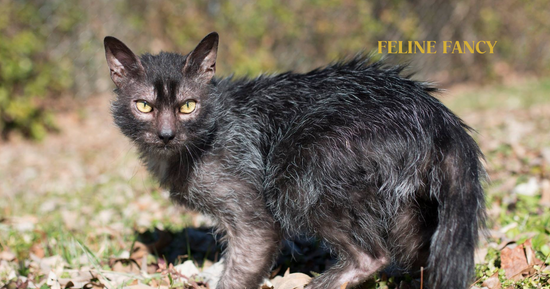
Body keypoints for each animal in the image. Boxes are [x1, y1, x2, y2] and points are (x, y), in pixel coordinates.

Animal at [103, 32, 488, 288]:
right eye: (143, 106)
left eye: (187, 106)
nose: (166, 134)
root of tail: (437, 114)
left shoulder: (254, 218)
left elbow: (239, 271)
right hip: (408, 208)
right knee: (420, 256)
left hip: (296, 175)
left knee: (371, 257)